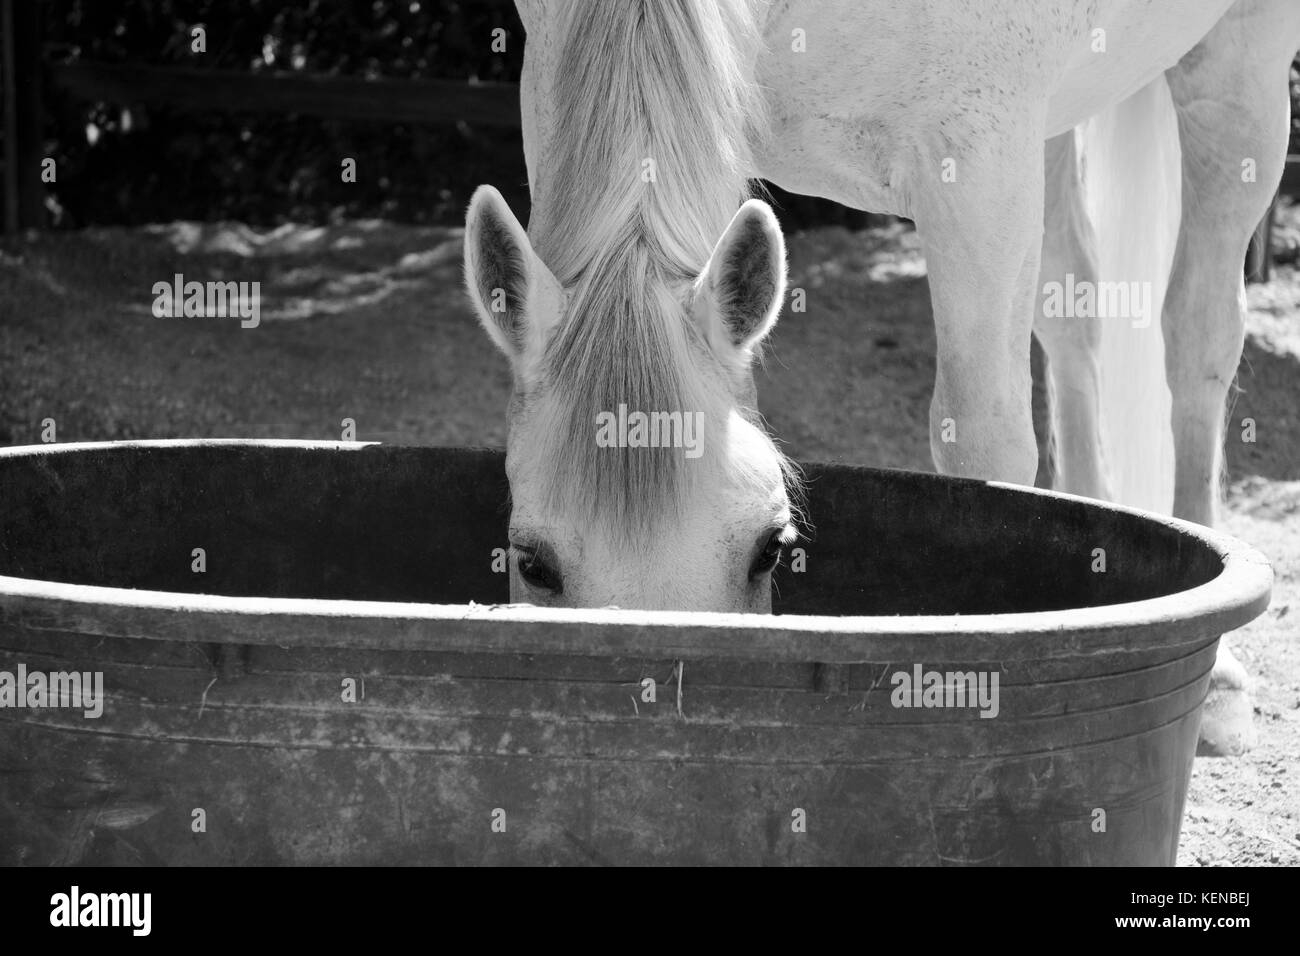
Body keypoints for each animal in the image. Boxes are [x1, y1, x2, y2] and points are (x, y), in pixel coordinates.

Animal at [462, 0, 1294, 754]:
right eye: (532, 563)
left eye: (770, 549)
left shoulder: (981, 156)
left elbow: (985, 444)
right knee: (1075, 313)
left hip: (1239, 63)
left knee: (1198, 333)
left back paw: (1222, 677)